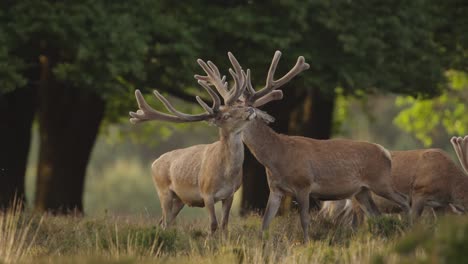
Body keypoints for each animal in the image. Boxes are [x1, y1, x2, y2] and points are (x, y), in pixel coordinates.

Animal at [128, 52, 274, 232]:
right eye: (226, 116)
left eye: (237, 107)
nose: (250, 109)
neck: (227, 175)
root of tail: (154, 163)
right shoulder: (206, 194)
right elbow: (213, 225)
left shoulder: (230, 194)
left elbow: (224, 225)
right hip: (163, 191)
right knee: (164, 221)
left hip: (180, 199)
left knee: (165, 222)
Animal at [199, 50, 412, 242]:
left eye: (236, 111)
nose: (216, 116)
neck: (277, 156)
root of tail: (385, 152)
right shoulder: (275, 189)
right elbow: (265, 223)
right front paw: (261, 246)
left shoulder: (304, 184)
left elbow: (304, 221)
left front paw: (307, 244)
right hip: (362, 191)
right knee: (377, 215)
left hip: (381, 181)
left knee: (405, 201)